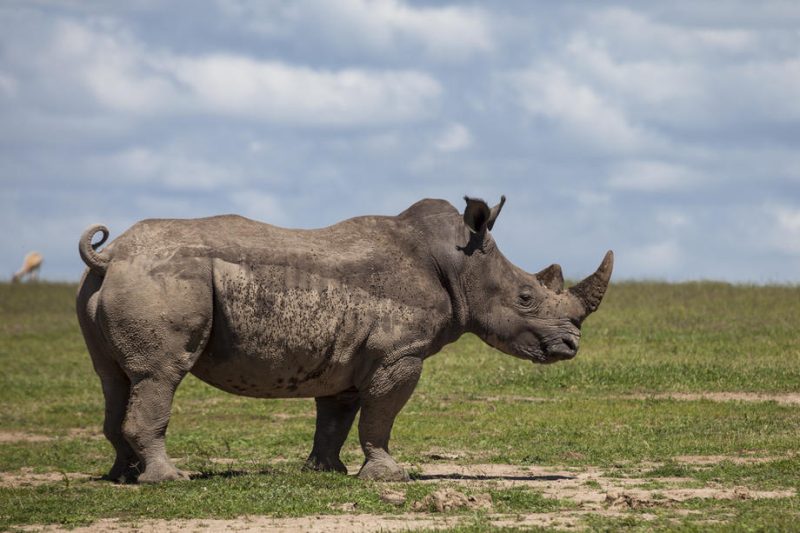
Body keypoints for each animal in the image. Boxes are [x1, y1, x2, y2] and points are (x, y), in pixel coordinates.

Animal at [76, 196, 613, 483]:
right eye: (526, 297)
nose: (570, 347)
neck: (460, 262)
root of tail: (112, 255)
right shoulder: (400, 352)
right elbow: (381, 415)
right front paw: (389, 475)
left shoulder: (350, 355)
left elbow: (337, 416)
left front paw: (325, 471)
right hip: (164, 280)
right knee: (160, 375)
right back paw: (168, 480)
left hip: (113, 285)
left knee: (114, 377)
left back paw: (124, 476)